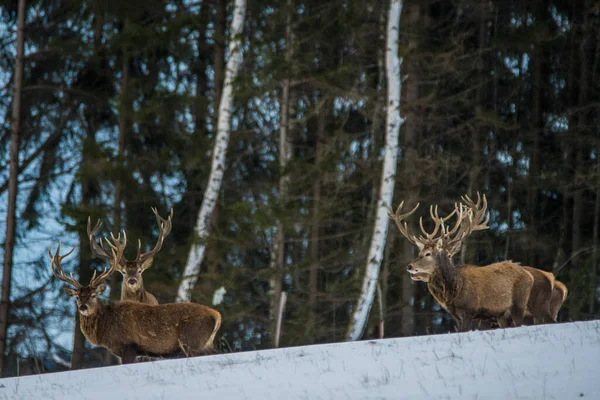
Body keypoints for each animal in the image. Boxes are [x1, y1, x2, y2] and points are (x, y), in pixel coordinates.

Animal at [49, 239, 221, 364]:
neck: (105, 329)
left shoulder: (129, 346)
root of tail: (216, 315)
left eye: (93, 295)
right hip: (206, 343)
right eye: (77, 296)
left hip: (191, 341)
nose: (83, 307)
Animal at [390, 194, 536, 332]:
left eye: (428, 254)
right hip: (501, 314)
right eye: (420, 252)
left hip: (519, 303)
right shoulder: (457, 316)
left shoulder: (470, 311)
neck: (453, 293)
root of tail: (529, 275)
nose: (410, 266)